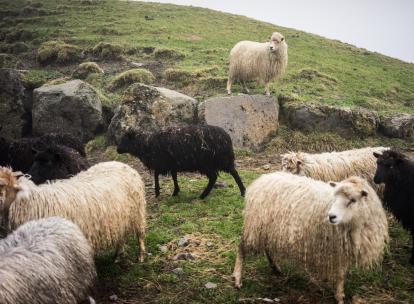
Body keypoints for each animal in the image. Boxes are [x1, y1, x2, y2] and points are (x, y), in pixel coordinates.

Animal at [0, 162, 147, 262]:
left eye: (2, 184)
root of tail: (122, 164)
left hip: (138, 212)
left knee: (140, 234)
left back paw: (140, 256)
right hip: (120, 216)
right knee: (121, 235)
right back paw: (118, 255)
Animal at [116, 124, 246, 198]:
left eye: (125, 139)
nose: (117, 150)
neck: (146, 143)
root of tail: (227, 137)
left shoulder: (162, 163)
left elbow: (156, 175)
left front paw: (157, 192)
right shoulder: (172, 164)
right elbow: (174, 176)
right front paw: (175, 191)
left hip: (209, 162)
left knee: (217, 176)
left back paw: (203, 195)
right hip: (220, 160)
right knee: (230, 173)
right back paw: (242, 191)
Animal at [234, 172, 390, 302]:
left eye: (352, 200)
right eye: (335, 198)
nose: (331, 216)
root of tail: (261, 179)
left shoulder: (344, 249)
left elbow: (341, 274)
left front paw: (339, 294)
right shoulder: (338, 249)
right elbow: (340, 275)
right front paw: (339, 297)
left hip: (268, 228)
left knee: (267, 247)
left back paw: (276, 268)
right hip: (255, 225)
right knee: (242, 248)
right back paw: (237, 279)